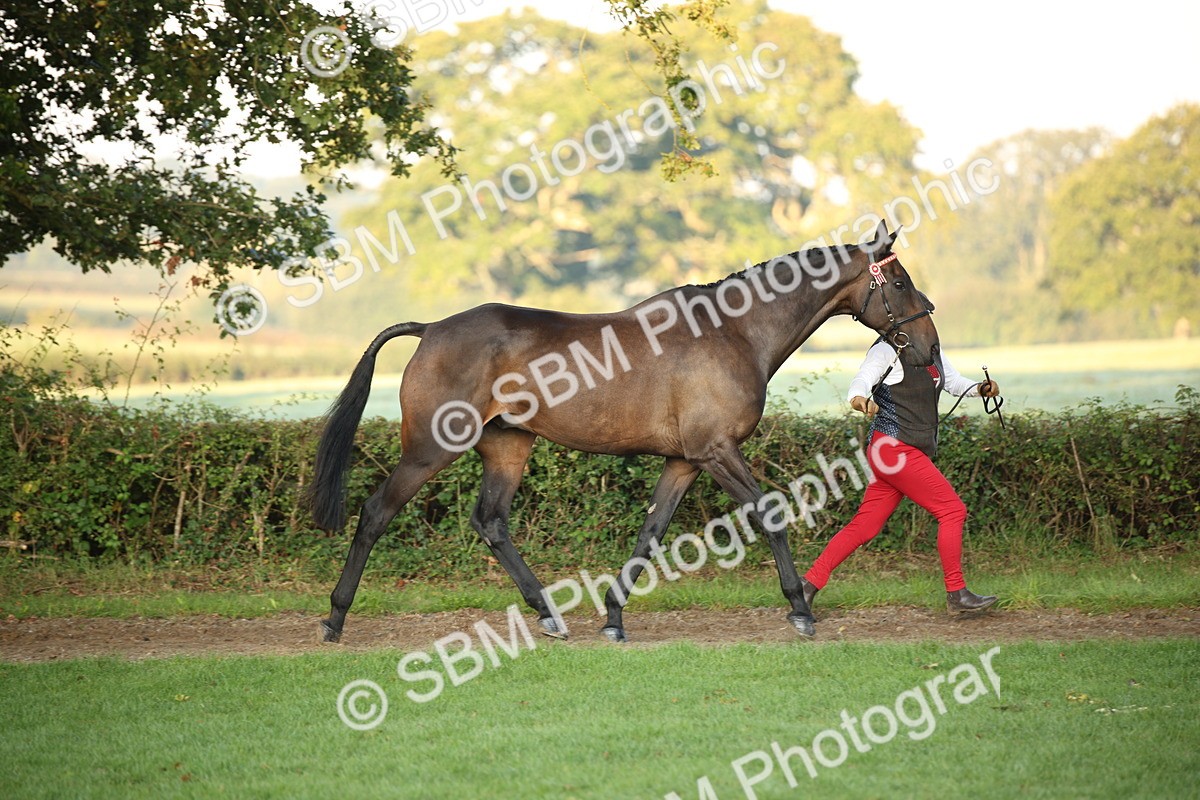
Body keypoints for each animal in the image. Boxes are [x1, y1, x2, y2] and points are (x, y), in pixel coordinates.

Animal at [308, 219, 939, 643]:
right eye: (899, 283)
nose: (929, 349)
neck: (733, 330)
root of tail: (432, 329)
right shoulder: (717, 451)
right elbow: (770, 515)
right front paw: (800, 609)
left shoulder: (685, 461)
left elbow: (651, 532)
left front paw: (613, 616)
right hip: (431, 448)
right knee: (376, 513)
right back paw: (335, 617)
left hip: (508, 445)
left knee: (491, 522)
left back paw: (549, 614)